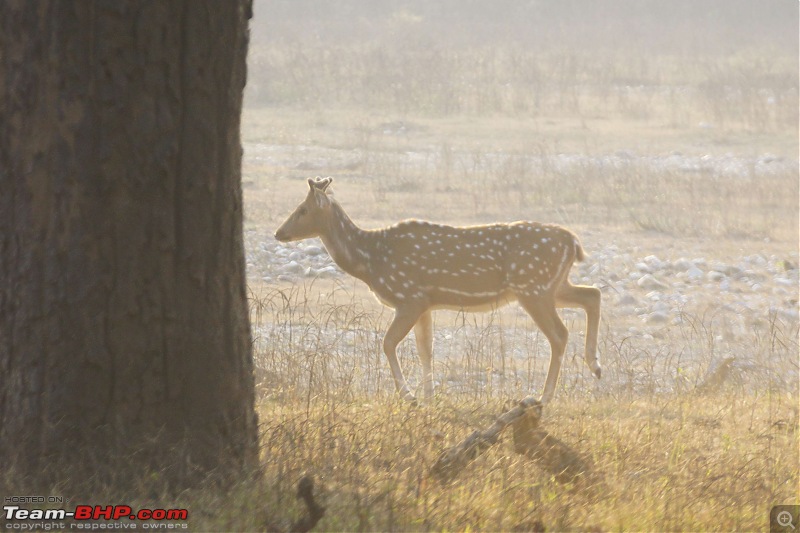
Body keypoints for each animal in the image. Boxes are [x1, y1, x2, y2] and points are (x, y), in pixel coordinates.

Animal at [276, 177, 600, 402]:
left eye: (302, 209)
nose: (279, 232)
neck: (370, 261)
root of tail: (573, 242)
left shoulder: (409, 297)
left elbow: (388, 343)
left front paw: (410, 396)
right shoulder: (426, 303)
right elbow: (425, 349)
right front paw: (430, 397)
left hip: (532, 286)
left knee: (560, 333)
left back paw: (545, 395)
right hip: (551, 285)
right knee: (592, 293)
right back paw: (595, 366)